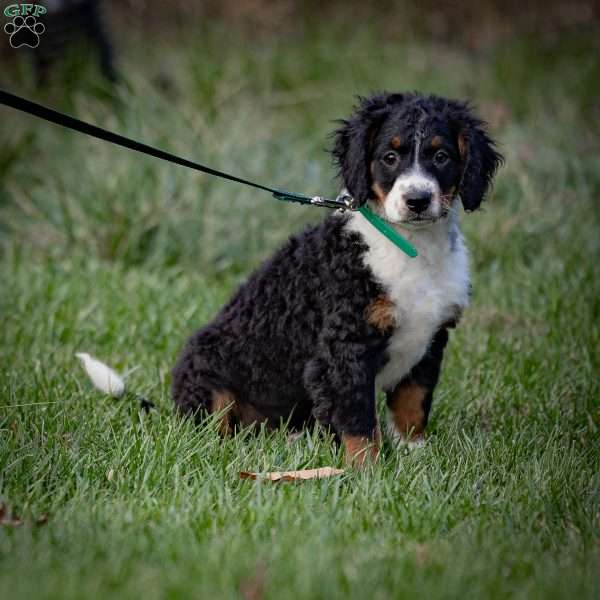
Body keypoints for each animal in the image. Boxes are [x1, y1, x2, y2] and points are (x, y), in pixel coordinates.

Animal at [172, 92, 502, 464]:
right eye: (389, 157)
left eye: (441, 156)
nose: (417, 200)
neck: (412, 248)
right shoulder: (344, 347)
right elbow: (358, 418)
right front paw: (366, 469)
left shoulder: (430, 340)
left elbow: (412, 404)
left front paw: (414, 455)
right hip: (208, 368)